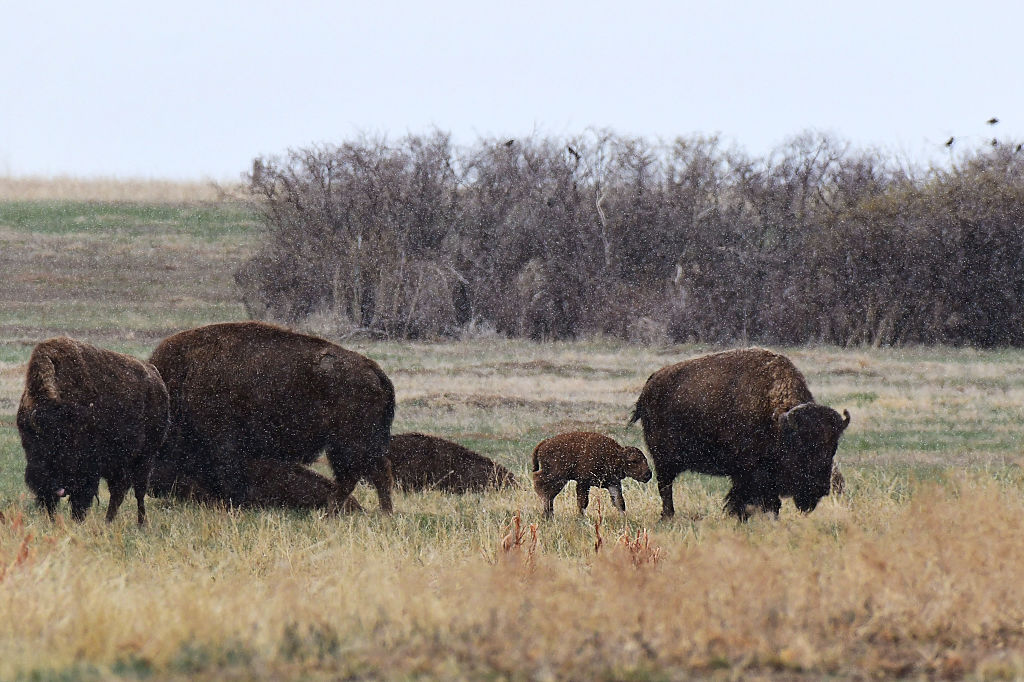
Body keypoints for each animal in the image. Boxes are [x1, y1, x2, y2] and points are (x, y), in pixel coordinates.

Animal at [17, 337, 169, 524]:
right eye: (35, 442)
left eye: (68, 441)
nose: (61, 488)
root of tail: (158, 380)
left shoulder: (87, 470)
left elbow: (81, 500)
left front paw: (77, 521)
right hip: (119, 465)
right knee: (118, 492)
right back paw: (108, 522)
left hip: (144, 458)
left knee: (138, 492)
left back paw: (141, 524)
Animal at [149, 321, 394, 512]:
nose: (151, 487)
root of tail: (372, 368)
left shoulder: (225, 447)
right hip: (358, 444)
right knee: (374, 472)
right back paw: (380, 513)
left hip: (350, 443)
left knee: (358, 475)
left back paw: (334, 511)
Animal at [630, 348, 850, 521]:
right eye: (803, 449)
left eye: (833, 448)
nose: (820, 488)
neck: (779, 423)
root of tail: (650, 384)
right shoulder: (748, 473)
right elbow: (749, 499)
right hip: (663, 460)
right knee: (665, 487)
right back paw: (668, 516)